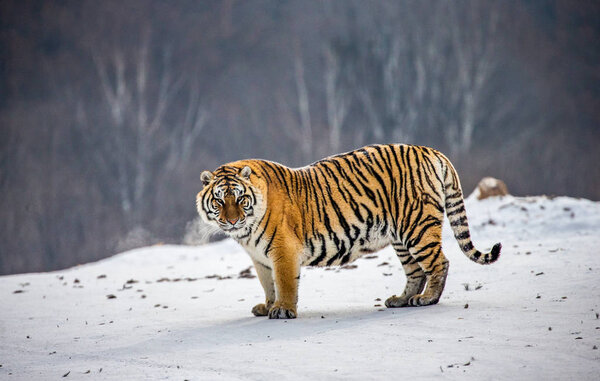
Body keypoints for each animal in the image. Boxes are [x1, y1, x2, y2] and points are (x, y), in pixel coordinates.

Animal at [197, 142, 502, 318]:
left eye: (240, 199)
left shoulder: (283, 251)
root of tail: (432, 151)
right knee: (415, 272)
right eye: (219, 201)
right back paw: (401, 300)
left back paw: (427, 299)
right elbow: (267, 283)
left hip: (418, 227)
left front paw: (282, 310)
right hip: (401, 238)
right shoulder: (260, 258)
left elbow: (284, 282)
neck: (246, 233)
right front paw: (268, 306)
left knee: (440, 263)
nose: (232, 221)